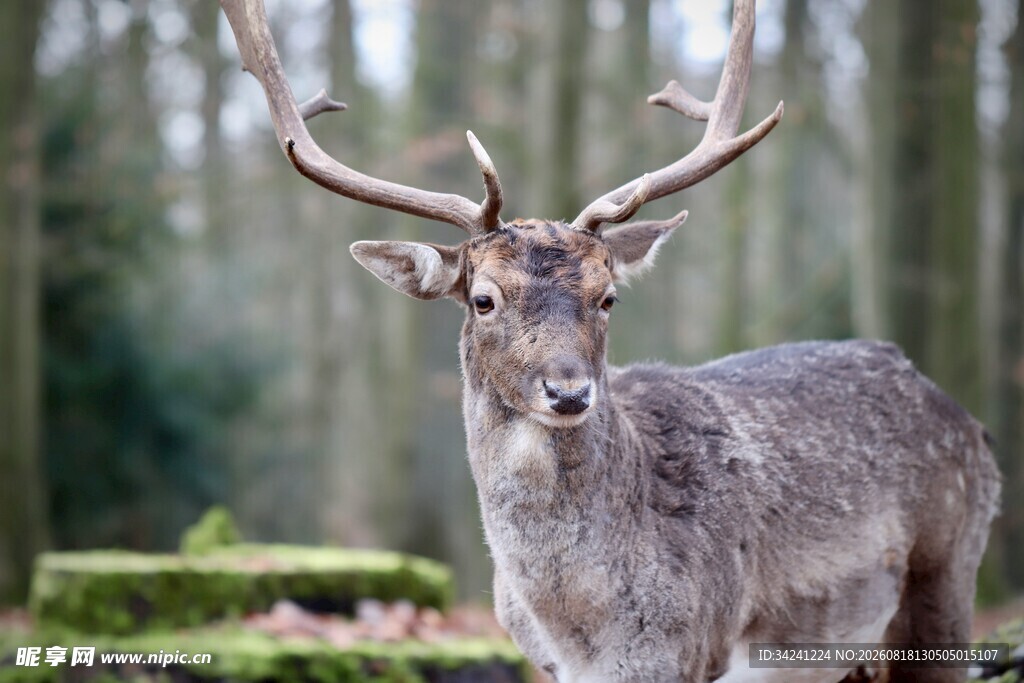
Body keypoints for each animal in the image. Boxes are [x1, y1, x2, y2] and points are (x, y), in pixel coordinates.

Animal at [220, 1, 1001, 681]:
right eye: (482, 298)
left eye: (608, 297)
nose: (568, 391)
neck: (587, 630)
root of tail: (972, 425)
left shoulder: (694, 650)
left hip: (945, 580)